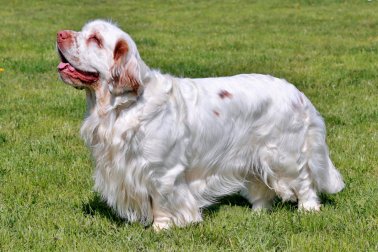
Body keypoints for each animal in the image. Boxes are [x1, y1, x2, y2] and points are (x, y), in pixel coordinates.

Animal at [56, 20, 346, 230]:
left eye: (95, 39)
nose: (59, 34)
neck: (123, 106)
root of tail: (298, 93)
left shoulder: (163, 171)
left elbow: (161, 201)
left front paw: (161, 228)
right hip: (253, 155)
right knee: (261, 186)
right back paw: (258, 213)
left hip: (282, 154)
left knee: (304, 180)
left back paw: (308, 209)